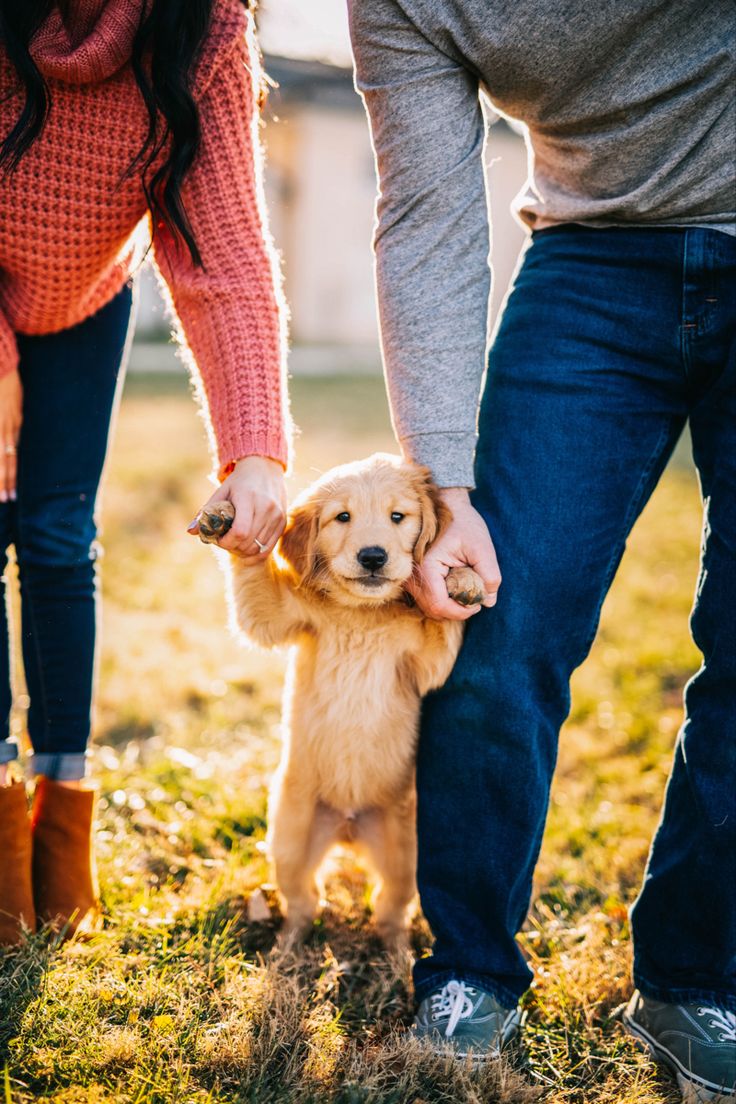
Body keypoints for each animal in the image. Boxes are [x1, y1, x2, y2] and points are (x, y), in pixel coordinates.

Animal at [197, 452, 483, 945]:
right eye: (342, 517)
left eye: (397, 517)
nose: (373, 556)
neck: (362, 613)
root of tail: (349, 826)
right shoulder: (277, 614)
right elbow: (253, 579)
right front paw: (226, 517)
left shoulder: (429, 663)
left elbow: (442, 622)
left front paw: (460, 579)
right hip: (291, 837)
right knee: (304, 900)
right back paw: (290, 946)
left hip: (405, 852)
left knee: (390, 905)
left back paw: (396, 950)